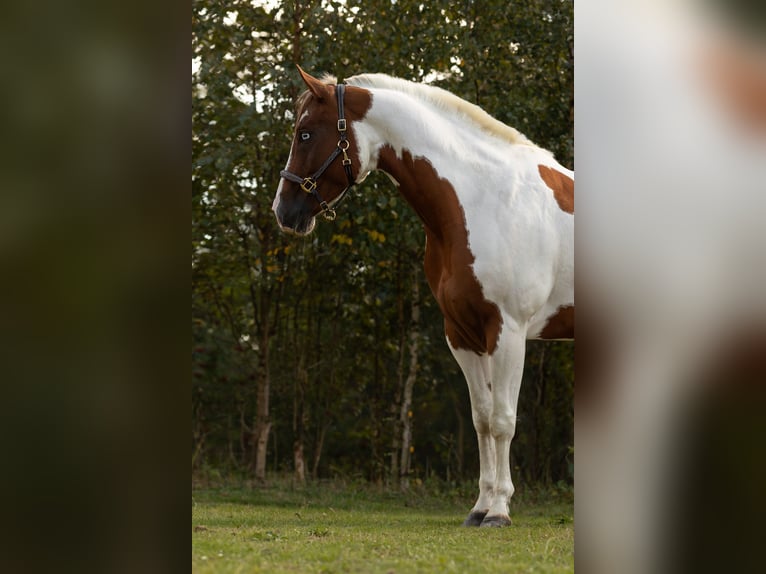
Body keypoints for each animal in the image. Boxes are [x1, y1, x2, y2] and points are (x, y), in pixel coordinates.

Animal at [273, 67, 574, 527]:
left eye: (305, 134)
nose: (283, 212)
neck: (481, 199)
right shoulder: (462, 334)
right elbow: (481, 418)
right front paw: (480, 507)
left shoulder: (508, 330)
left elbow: (503, 420)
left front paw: (500, 511)